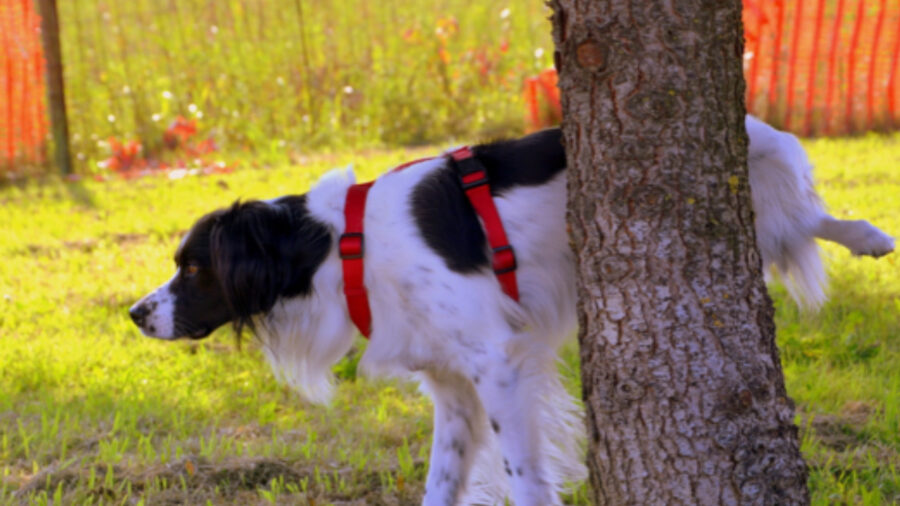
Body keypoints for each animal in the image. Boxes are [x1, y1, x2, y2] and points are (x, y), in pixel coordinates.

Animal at [132, 116, 892, 504]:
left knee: (809, 213)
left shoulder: (497, 365)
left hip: (764, 180)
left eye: (193, 268)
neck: (343, 246)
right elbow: (441, 485)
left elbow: (525, 477)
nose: (136, 314)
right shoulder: (452, 388)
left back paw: (869, 235)